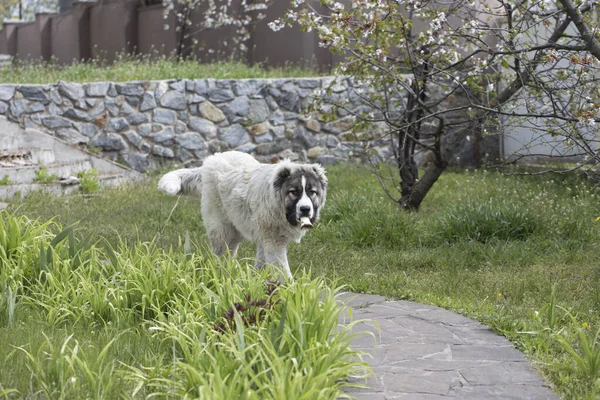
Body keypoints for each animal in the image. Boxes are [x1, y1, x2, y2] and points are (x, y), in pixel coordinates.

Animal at [158, 151, 328, 282]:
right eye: (294, 192)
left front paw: (258, 281)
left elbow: (262, 261)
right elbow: (281, 269)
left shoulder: (266, 236)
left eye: (312, 192)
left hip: (235, 228)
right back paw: (221, 276)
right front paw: (290, 291)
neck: (279, 205)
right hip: (221, 229)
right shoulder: (274, 240)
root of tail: (210, 160)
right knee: (220, 254)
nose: (305, 209)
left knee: (230, 253)